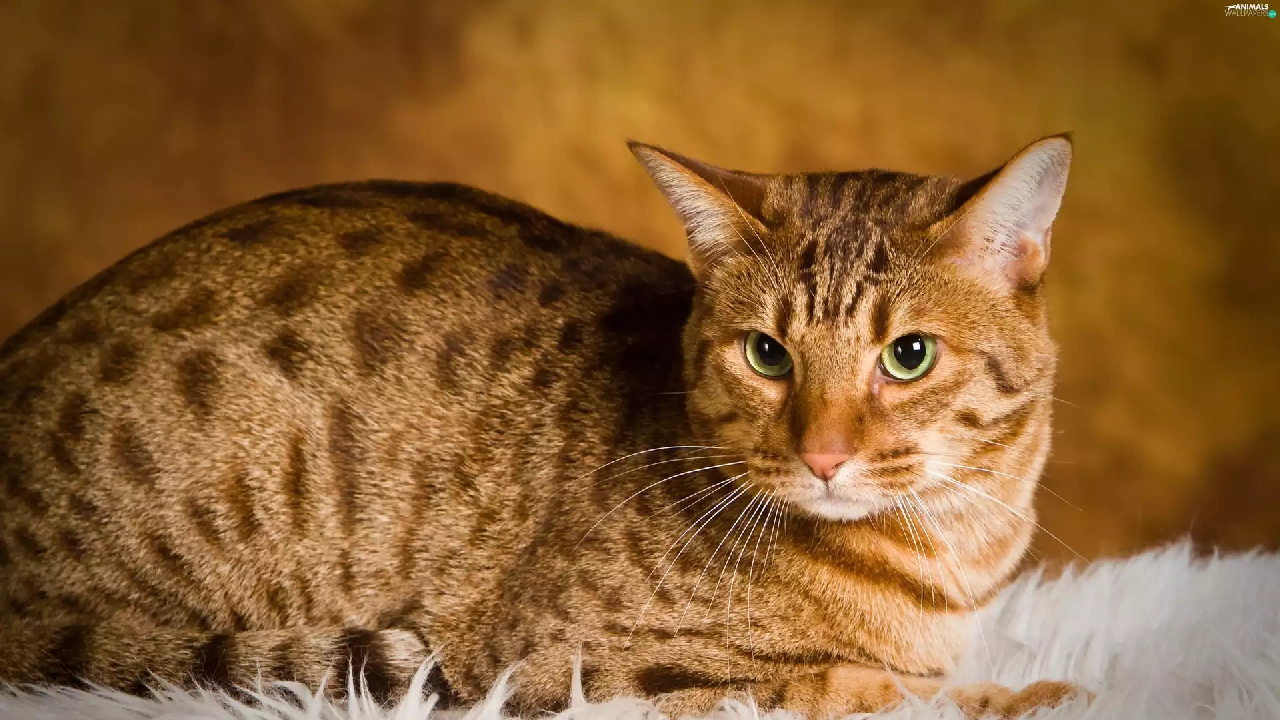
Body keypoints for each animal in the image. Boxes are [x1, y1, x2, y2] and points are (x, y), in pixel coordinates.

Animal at [0, 134, 1084, 718]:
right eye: (767, 354)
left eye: (908, 356)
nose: (822, 455)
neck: (949, 551)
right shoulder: (574, 665)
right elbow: (856, 688)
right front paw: (1025, 698)